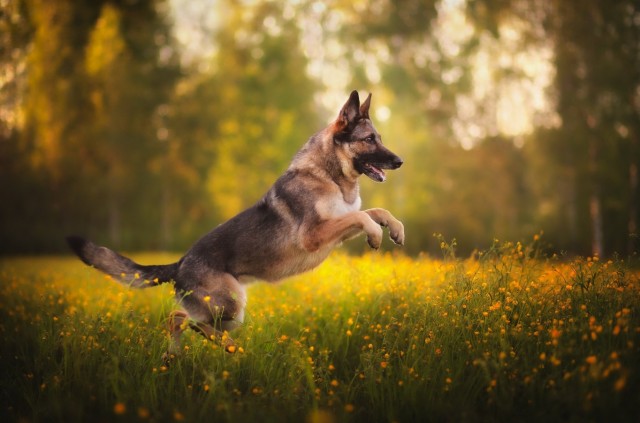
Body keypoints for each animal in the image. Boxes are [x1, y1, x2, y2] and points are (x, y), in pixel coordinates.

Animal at [66, 91, 404, 356]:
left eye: (379, 139)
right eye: (369, 140)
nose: (400, 161)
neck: (331, 175)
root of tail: (180, 263)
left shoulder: (337, 229)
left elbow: (375, 211)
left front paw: (395, 229)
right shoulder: (316, 234)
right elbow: (362, 216)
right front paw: (376, 236)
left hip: (229, 313)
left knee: (180, 321)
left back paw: (180, 356)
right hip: (229, 305)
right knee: (184, 320)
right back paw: (226, 348)